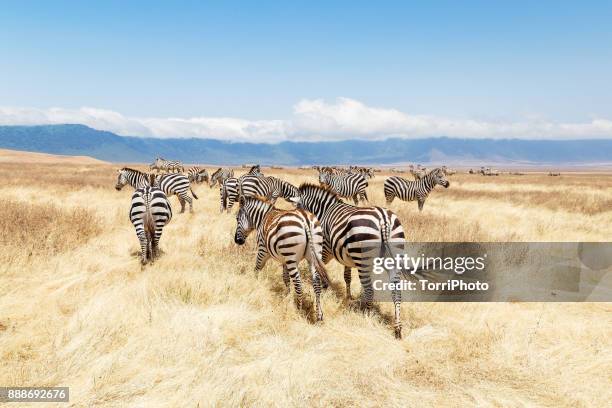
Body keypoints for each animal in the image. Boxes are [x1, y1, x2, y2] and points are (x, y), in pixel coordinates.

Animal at [290, 183, 406, 340]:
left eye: (297, 207)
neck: (324, 210)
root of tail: (383, 219)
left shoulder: (325, 249)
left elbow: (322, 270)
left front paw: (326, 288)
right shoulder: (346, 257)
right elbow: (347, 277)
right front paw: (349, 297)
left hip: (363, 257)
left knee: (370, 290)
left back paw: (366, 316)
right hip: (393, 254)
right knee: (396, 291)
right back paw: (397, 329)